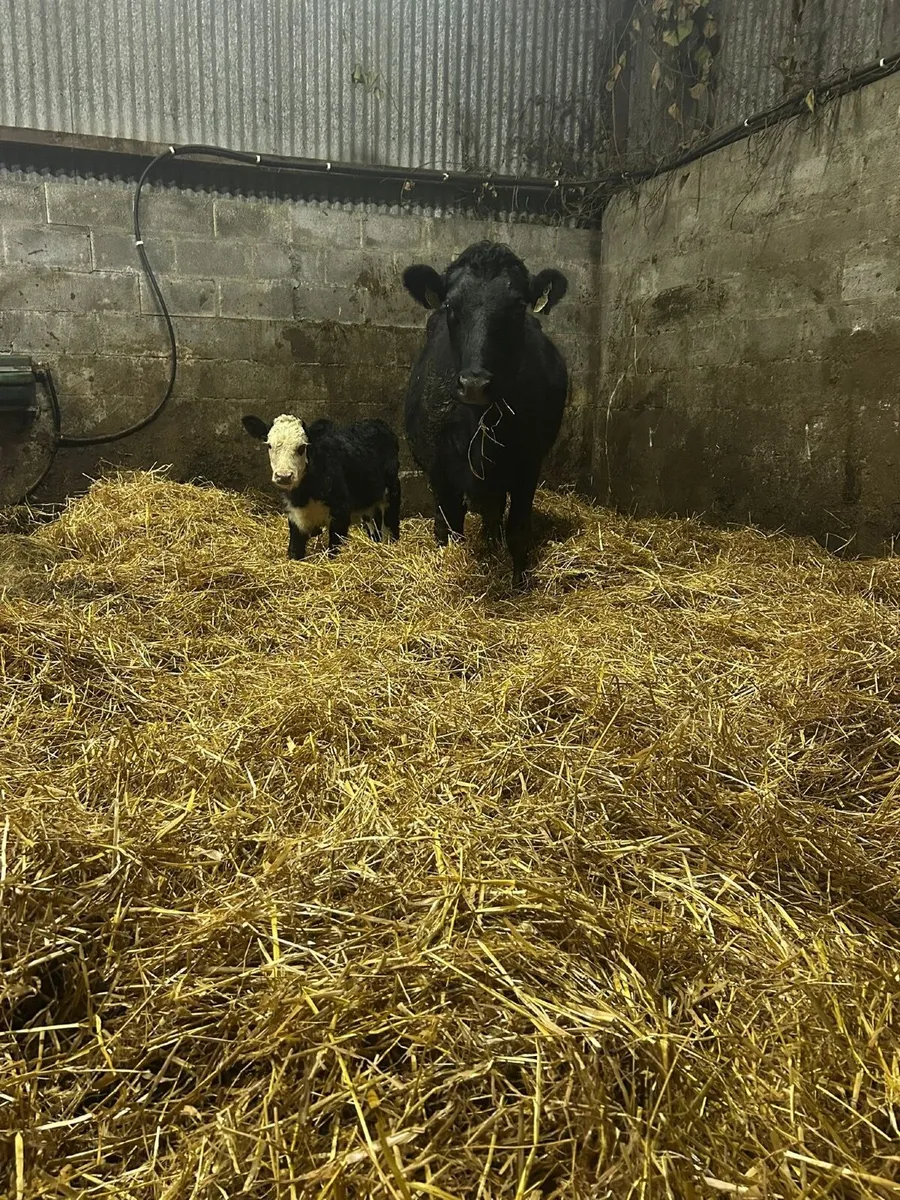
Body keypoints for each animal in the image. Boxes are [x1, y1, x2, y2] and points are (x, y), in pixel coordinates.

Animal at [242, 413, 401, 560]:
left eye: (301, 447)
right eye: (269, 445)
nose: (284, 476)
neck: (305, 495)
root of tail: (376, 422)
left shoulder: (341, 512)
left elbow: (334, 549)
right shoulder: (295, 517)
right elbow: (295, 550)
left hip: (391, 490)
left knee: (391, 523)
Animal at [401, 240, 568, 587]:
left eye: (518, 306)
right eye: (450, 305)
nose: (475, 384)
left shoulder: (528, 466)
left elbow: (518, 530)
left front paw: (518, 582)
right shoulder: (439, 471)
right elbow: (448, 530)